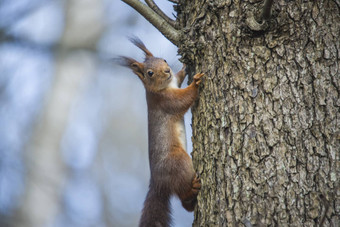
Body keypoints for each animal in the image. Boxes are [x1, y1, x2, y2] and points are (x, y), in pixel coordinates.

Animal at [119, 38, 203, 226]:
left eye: (164, 59)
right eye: (150, 73)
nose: (166, 70)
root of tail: (158, 184)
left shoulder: (174, 81)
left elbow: (179, 77)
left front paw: (184, 67)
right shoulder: (165, 101)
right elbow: (183, 99)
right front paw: (195, 83)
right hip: (178, 162)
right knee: (182, 190)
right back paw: (192, 189)